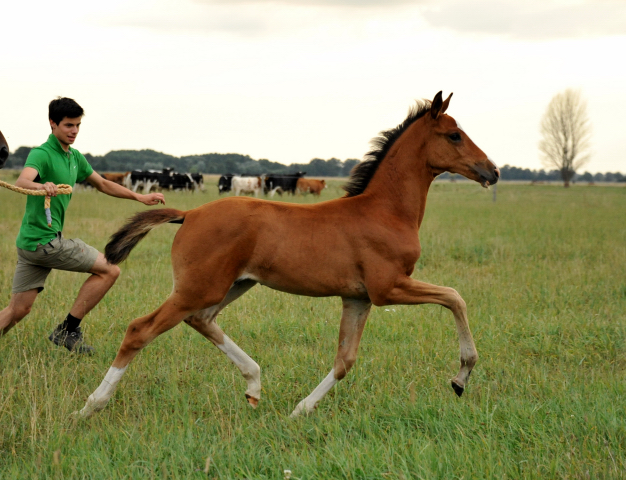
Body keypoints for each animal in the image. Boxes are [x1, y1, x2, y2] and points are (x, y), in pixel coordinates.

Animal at [77, 92, 498, 418]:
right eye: (455, 135)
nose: (492, 171)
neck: (385, 211)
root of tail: (190, 214)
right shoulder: (388, 287)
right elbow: (455, 298)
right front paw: (461, 377)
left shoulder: (358, 298)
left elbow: (345, 360)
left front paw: (300, 410)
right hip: (198, 287)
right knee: (141, 329)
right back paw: (91, 405)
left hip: (232, 285)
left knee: (201, 320)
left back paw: (254, 384)